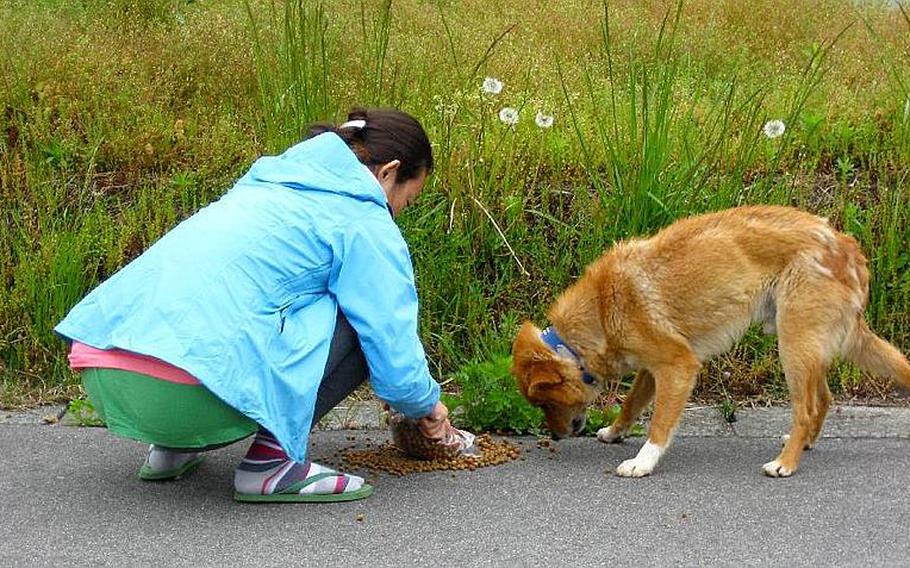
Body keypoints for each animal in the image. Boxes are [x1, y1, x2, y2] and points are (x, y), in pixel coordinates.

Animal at [512, 206, 910, 478]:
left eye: (544, 402)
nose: (557, 437)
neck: (600, 309)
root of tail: (849, 249)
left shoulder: (678, 367)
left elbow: (658, 426)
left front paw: (643, 462)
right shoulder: (652, 370)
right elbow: (630, 406)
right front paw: (613, 432)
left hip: (793, 347)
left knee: (807, 408)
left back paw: (785, 463)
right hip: (806, 346)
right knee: (823, 398)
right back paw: (805, 443)